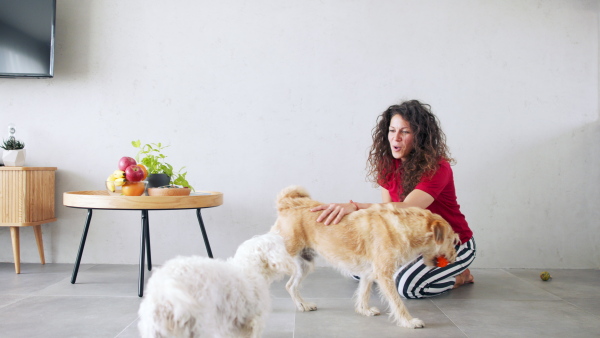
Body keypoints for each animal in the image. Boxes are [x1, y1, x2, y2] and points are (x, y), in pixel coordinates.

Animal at [268, 186, 460, 328]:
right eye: (452, 240)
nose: (455, 258)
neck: (404, 227)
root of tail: (288, 204)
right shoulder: (384, 274)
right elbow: (397, 302)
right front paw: (409, 321)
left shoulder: (369, 271)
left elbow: (364, 292)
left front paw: (364, 310)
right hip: (280, 259)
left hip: (304, 263)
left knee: (290, 285)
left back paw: (303, 305)